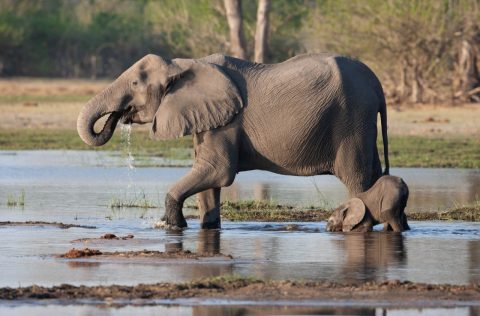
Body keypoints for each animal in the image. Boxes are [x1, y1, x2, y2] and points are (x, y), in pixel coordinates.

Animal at [77, 52, 388, 230]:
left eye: (135, 84)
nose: (118, 117)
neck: (183, 64)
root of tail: (376, 83)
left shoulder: (226, 121)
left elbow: (218, 171)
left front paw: (172, 225)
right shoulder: (208, 117)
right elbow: (208, 179)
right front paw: (206, 227)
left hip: (352, 119)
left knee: (356, 178)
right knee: (373, 175)